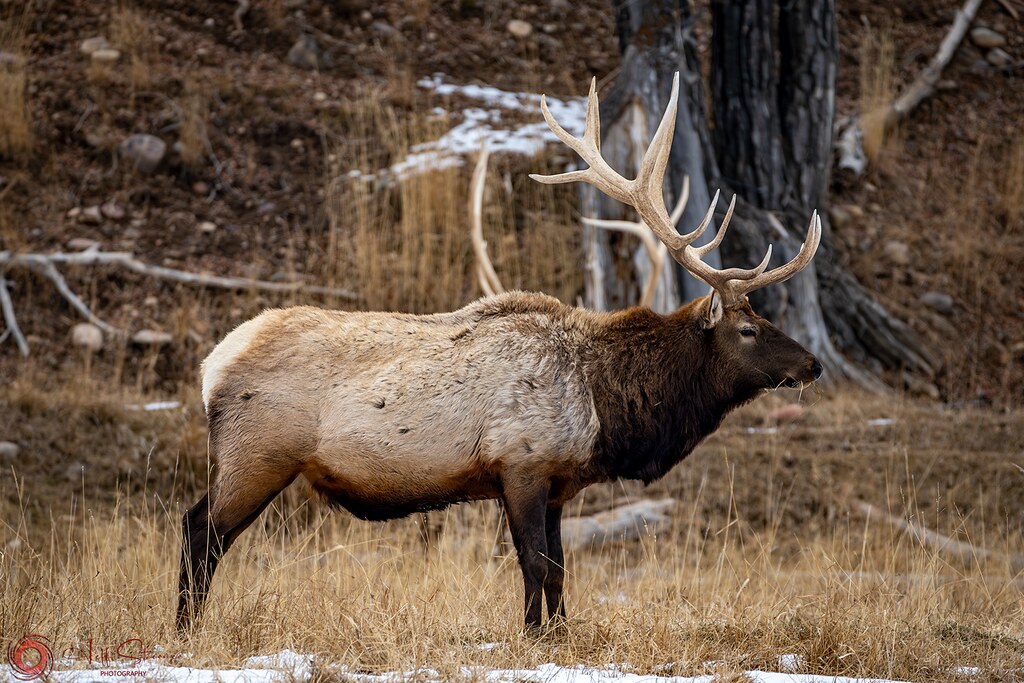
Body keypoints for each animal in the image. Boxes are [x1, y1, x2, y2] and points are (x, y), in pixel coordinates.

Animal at [176, 72, 823, 634]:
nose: (812, 364)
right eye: (749, 328)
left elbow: (560, 571)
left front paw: (558, 636)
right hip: (258, 453)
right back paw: (186, 630)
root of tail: (211, 367)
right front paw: (532, 637)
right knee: (199, 531)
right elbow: (534, 564)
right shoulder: (521, 463)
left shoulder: (559, 483)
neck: (605, 407)